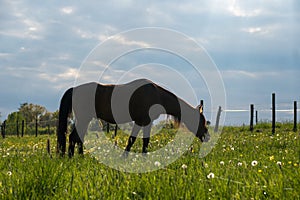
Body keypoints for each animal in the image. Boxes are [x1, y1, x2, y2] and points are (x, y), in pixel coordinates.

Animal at [57, 79, 210, 157]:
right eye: (201, 121)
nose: (207, 137)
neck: (157, 95)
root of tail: (74, 89)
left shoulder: (141, 122)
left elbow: (136, 140)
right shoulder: (145, 122)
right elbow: (138, 140)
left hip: (84, 120)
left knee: (78, 138)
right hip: (84, 119)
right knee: (73, 137)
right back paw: (72, 158)